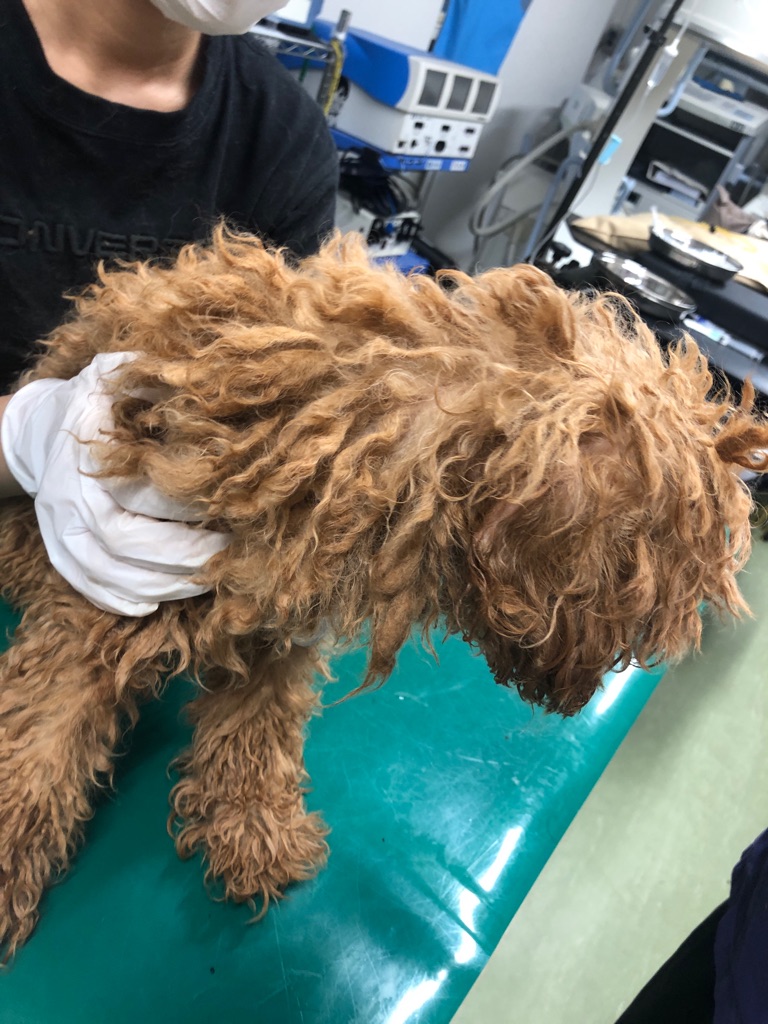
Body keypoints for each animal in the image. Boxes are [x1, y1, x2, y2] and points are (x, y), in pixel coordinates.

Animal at [0, 228, 766, 958]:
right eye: (651, 596)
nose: (598, 685)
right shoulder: (94, 617)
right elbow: (37, 753)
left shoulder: (274, 621)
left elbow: (256, 727)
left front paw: (254, 830)